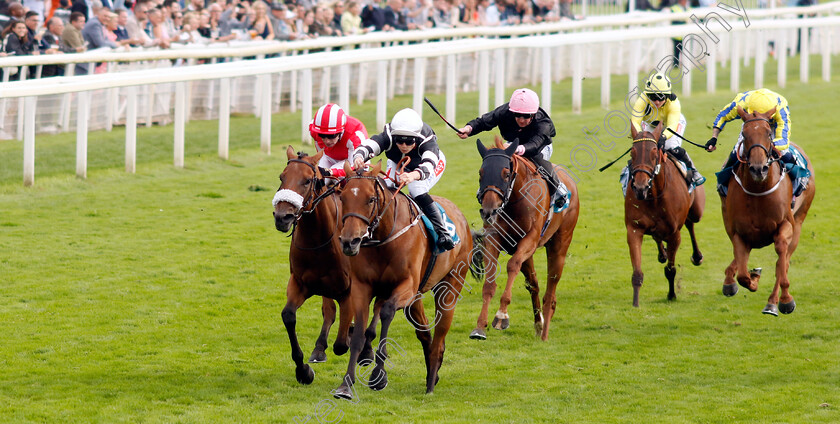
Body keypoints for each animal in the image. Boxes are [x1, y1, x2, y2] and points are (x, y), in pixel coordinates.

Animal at [274, 147, 378, 386]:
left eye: (307, 180)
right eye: (282, 177)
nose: (282, 217)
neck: (318, 241)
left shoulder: (347, 290)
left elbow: (341, 343)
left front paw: (354, 340)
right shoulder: (300, 283)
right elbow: (289, 316)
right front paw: (303, 370)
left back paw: (367, 349)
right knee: (329, 311)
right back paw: (320, 348)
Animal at [334, 161, 482, 400]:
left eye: (371, 199)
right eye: (343, 197)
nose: (350, 241)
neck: (384, 238)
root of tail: (462, 219)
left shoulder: (407, 287)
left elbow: (386, 313)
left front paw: (378, 375)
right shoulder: (362, 288)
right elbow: (359, 333)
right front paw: (346, 385)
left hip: (450, 286)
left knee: (439, 336)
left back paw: (431, 383)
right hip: (416, 300)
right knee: (425, 333)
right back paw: (433, 373)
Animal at [470, 136, 580, 342]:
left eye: (506, 174)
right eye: (481, 173)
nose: (488, 211)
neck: (514, 200)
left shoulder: (531, 239)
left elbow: (512, 265)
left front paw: (501, 316)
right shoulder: (494, 239)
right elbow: (489, 283)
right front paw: (480, 327)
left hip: (559, 245)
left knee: (550, 291)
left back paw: (544, 334)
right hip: (526, 255)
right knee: (534, 284)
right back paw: (539, 324)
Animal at [628, 124, 704, 306]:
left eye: (654, 152)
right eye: (632, 153)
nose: (640, 187)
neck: (654, 195)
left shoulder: (674, 233)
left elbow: (670, 270)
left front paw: (671, 295)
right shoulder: (633, 229)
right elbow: (637, 273)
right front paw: (635, 303)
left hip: (696, 210)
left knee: (690, 223)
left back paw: (697, 256)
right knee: (658, 236)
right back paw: (662, 253)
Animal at [720, 107, 812, 316]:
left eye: (769, 133)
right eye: (745, 134)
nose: (758, 169)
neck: (758, 190)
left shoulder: (786, 225)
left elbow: (781, 258)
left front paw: (785, 300)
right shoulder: (739, 232)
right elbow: (743, 274)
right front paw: (752, 278)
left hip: (799, 221)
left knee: (783, 261)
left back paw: (773, 303)